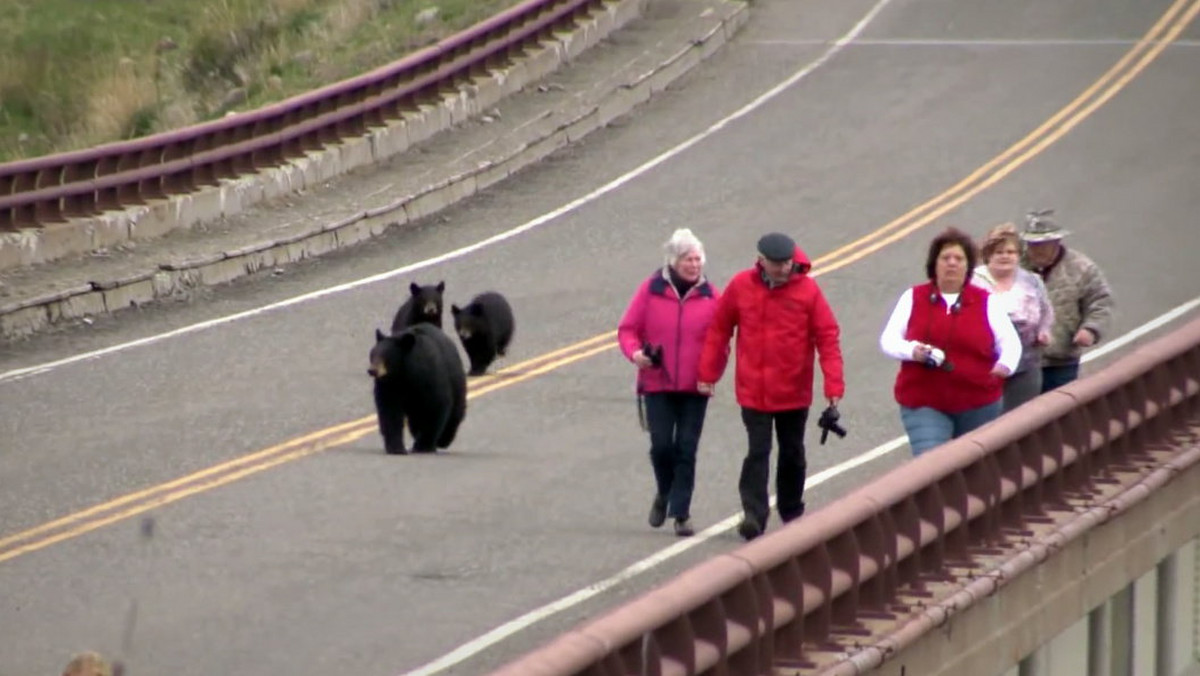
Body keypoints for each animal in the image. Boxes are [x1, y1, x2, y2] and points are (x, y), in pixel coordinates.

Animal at [369, 324, 468, 453]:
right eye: (372, 354)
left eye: (386, 357)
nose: (372, 370)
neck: (404, 375)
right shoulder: (389, 387)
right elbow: (389, 412)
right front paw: (396, 448)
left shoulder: (429, 379)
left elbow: (436, 407)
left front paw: (424, 446)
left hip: (457, 384)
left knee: (456, 412)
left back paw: (443, 440)